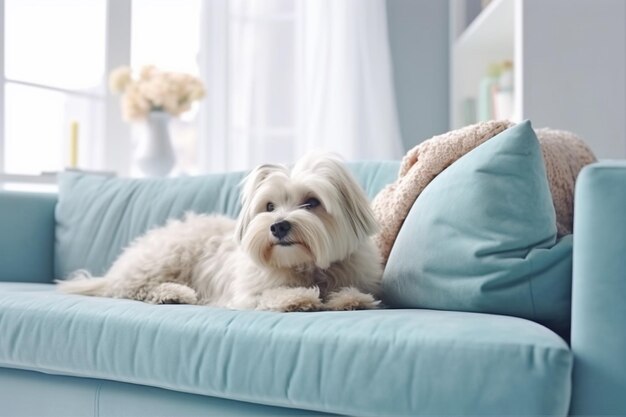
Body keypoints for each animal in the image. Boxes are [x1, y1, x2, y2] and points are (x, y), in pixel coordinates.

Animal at [58, 154, 380, 310]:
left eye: (312, 202)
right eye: (269, 206)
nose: (278, 226)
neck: (304, 265)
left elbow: (354, 294)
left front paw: (348, 299)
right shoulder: (247, 293)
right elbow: (271, 294)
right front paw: (296, 298)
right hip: (167, 257)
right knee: (131, 288)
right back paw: (173, 293)